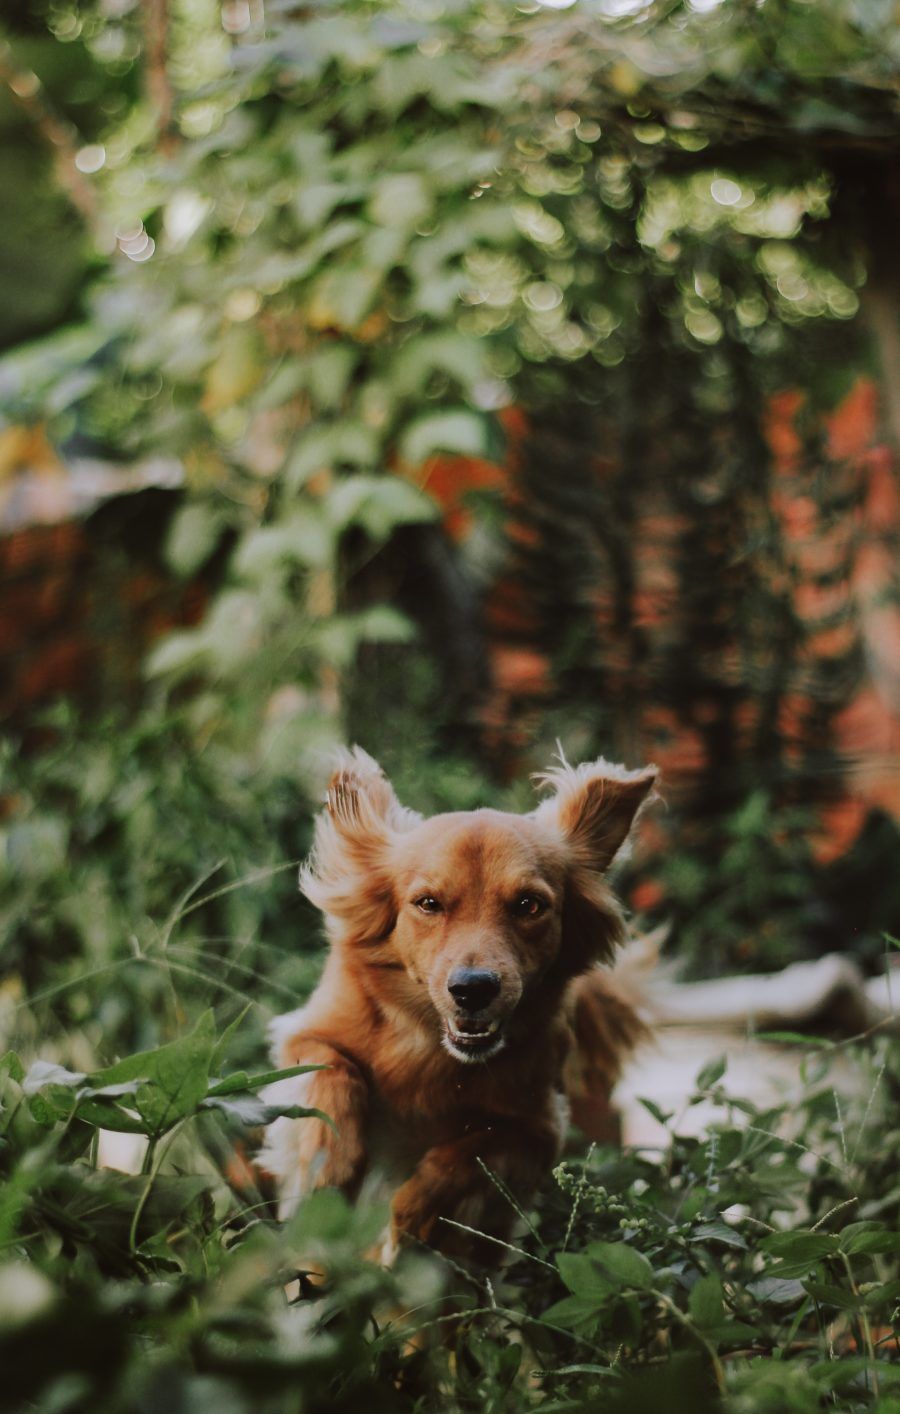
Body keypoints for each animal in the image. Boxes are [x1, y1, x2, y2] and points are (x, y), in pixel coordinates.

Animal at [260, 746, 653, 1266]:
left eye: (529, 905)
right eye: (428, 903)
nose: (473, 989)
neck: (432, 1052)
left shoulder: (539, 1127)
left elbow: (472, 1151)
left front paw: (413, 1216)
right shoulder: (304, 1035)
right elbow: (333, 1071)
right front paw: (330, 1163)